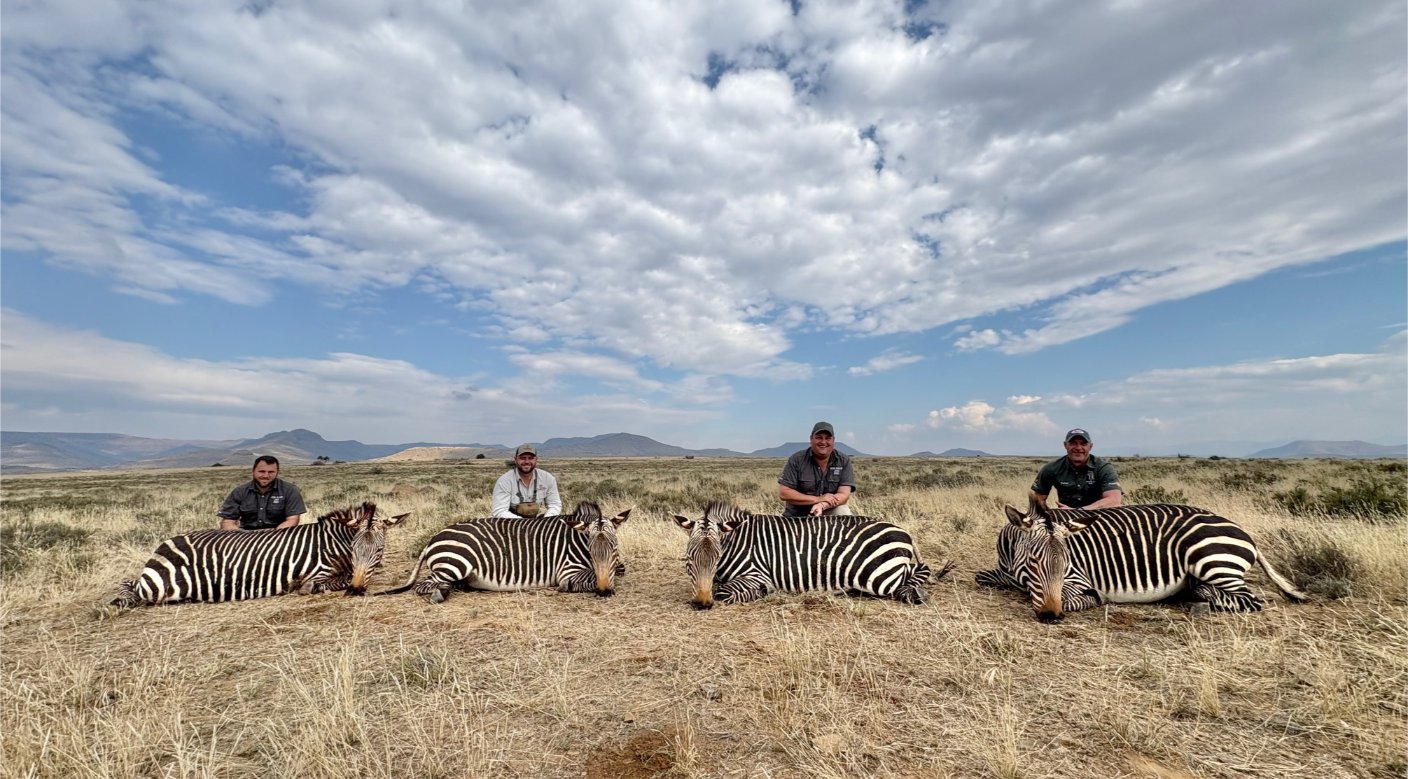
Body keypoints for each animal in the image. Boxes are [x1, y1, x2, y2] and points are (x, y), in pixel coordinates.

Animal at [109, 502, 409, 608]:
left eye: (378, 550)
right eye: (354, 549)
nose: (357, 591)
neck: (333, 544)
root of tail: (165, 542)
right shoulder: (314, 577)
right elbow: (329, 582)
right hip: (162, 587)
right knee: (131, 586)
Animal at [376, 501, 630, 603]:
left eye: (614, 547)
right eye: (590, 550)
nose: (604, 592)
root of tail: (433, 538)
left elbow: (618, 570)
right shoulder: (567, 572)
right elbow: (590, 578)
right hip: (454, 563)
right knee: (425, 585)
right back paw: (443, 592)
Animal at [672, 500, 952, 609]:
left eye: (717, 558)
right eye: (689, 560)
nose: (702, 604)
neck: (739, 542)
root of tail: (903, 531)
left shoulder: (757, 573)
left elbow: (724, 591)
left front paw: (761, 593)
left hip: (880, 577)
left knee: (915, 578)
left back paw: (917, 593)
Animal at [976, 499, 1308, 621]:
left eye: (1068, 561)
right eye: (1033, 562)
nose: (1050, 615)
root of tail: (1243, 530)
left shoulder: (1078, 579)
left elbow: (1077, 598)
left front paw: (1092, 600)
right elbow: (983, 577)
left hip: (1210, 559)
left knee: (1249, 599)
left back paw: (1197, 601)